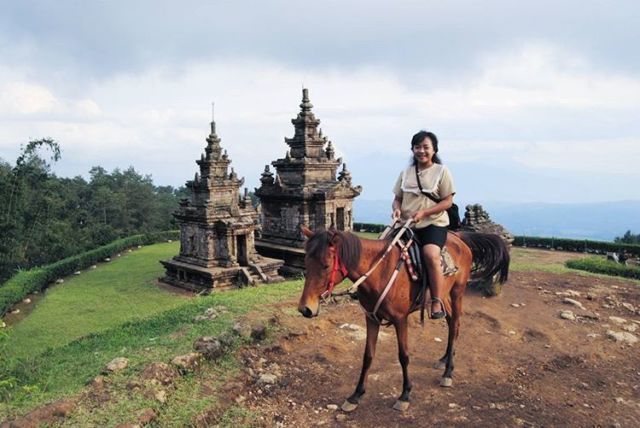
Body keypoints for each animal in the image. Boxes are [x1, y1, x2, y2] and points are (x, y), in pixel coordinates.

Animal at [296, 227, 510, 412]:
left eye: (325, 265)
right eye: (305, 262)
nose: (305, 309)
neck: (379, 272)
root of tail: (459, 237)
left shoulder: (400, 320)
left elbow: (404, 356)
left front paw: (405, 395)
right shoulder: (371, 319)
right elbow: (368, 356)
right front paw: (356, 395)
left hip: (457, 292)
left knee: (455, 324)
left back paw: (448, 372)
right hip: (444, 296)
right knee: (450, 323)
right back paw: (444, 359)